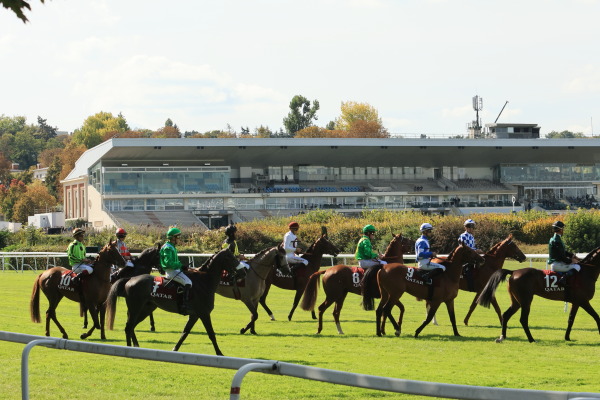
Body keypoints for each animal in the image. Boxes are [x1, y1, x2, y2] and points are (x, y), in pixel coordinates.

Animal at [106, 248, 240, 354]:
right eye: (232, 257)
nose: (241, 270)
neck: (205, 281)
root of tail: (129, 279)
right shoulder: (204, 314)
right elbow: (211, 334)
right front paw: (219, 353)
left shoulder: (195, 315)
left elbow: (185, 333)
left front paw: (175, 349)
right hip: (136, 308)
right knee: (128, 327)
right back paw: (129, 347)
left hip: (145, 309)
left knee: (131, 326)